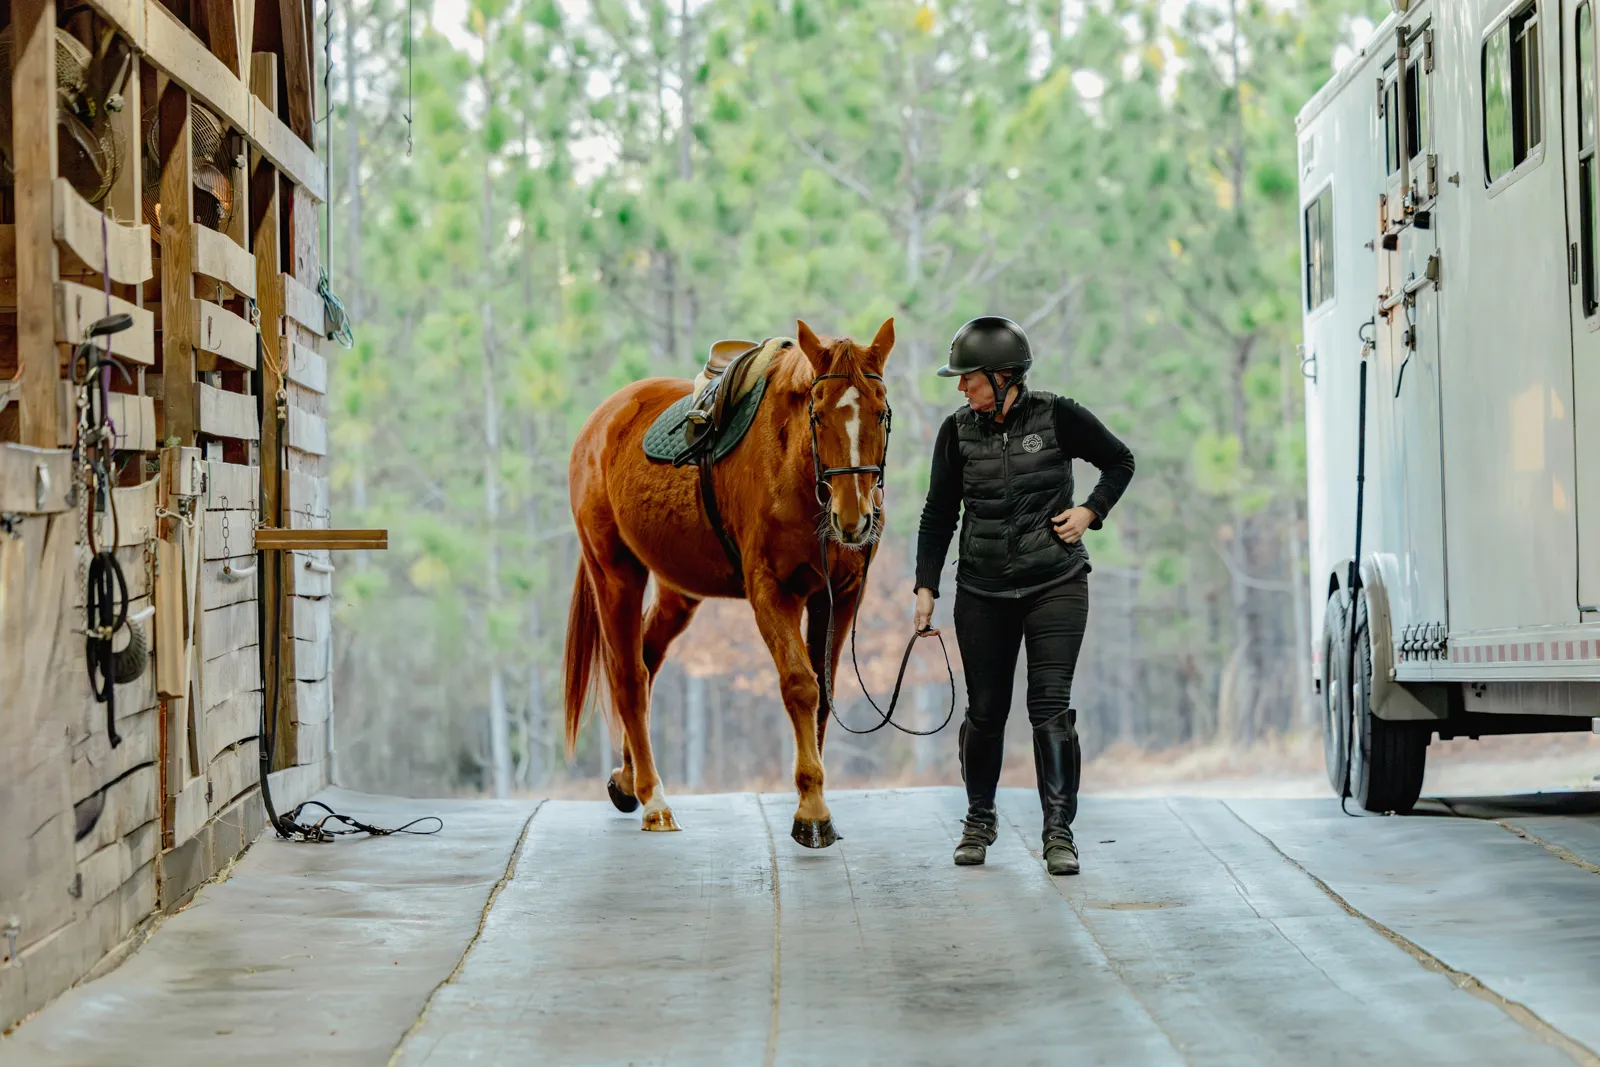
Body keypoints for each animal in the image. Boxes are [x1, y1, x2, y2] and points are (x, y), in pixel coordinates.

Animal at [563, 319, 895, 848]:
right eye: (818, 414)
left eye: (880, 413)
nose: (853, 518)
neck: (796, 471)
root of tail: (602, 421)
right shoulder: (771, 592)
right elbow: (801, 685)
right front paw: (812, 809)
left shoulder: (839, 595)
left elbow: (824, 691)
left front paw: (815, 796)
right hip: (614, 572)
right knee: (629, 677)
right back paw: (654, 798)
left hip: (678, 591)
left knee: (647, 660)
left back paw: (626, 779)